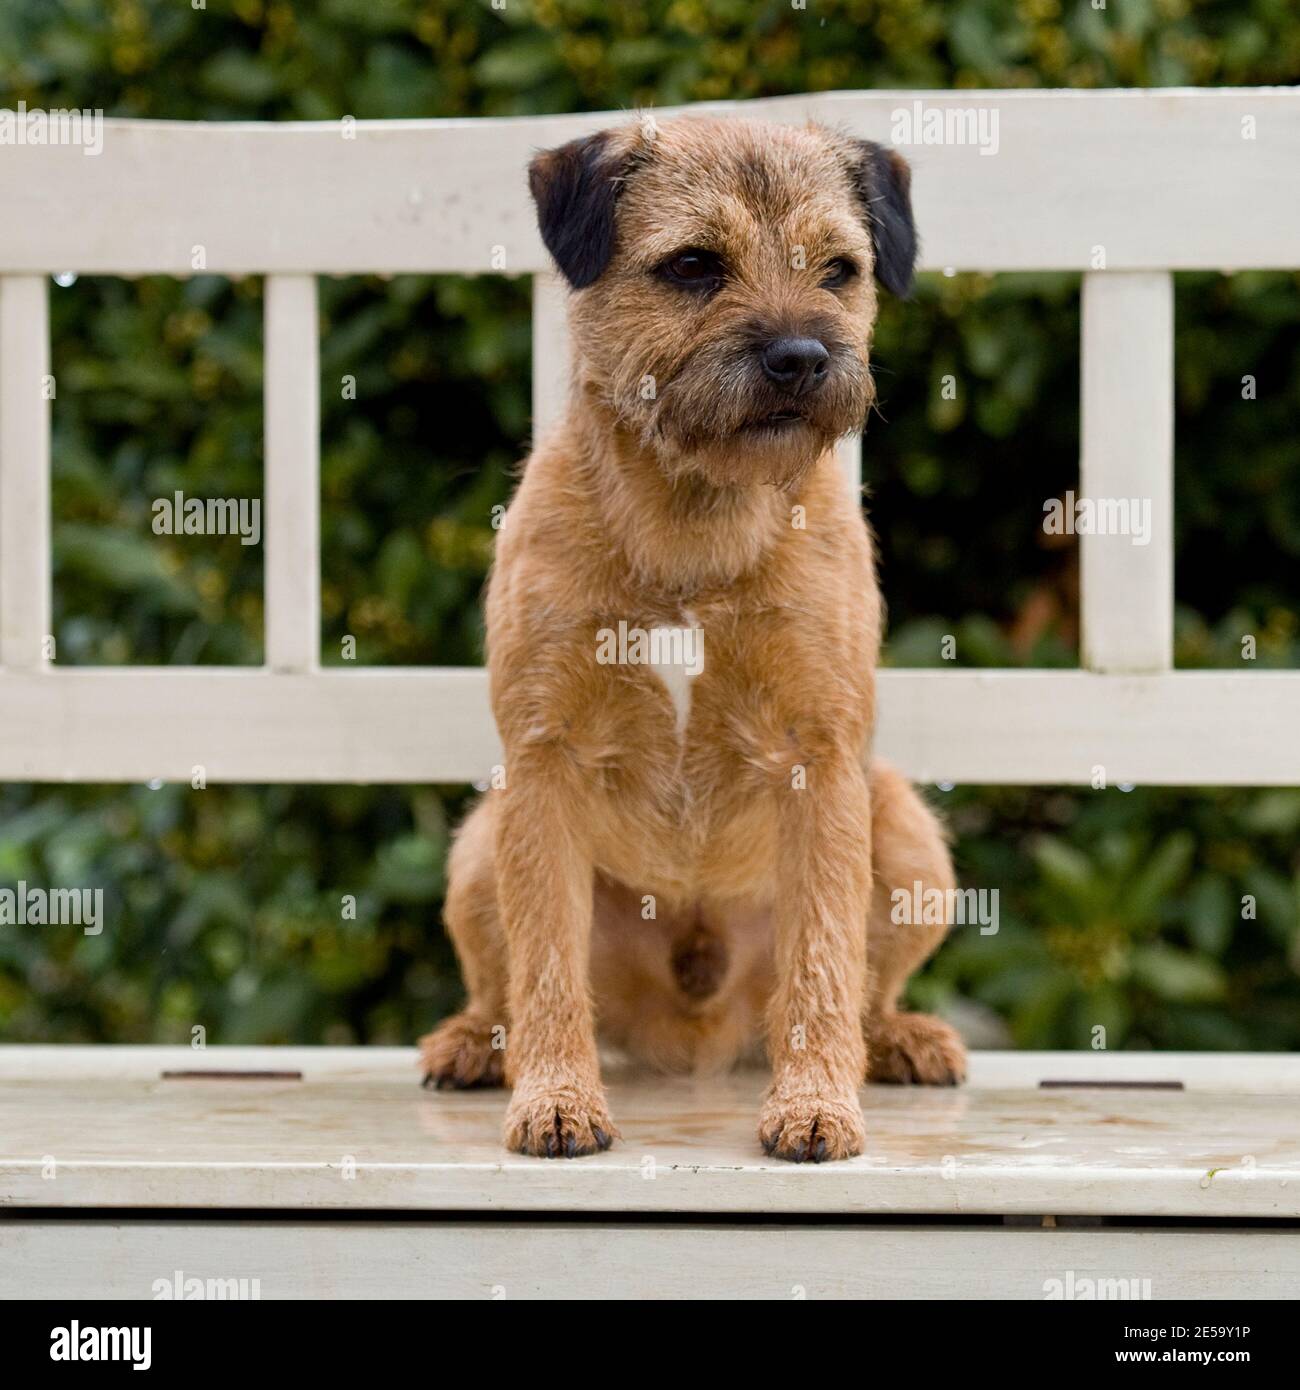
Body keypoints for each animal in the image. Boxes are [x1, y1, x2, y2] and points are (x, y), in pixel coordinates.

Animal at [419, 116, 967, 1162]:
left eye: (840, 269)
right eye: (692, 266)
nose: (801, 357)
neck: (695, 525)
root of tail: (695, 1033)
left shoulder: (821, 759)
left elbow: (823, 956)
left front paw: (815, 1107)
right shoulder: (543, 762)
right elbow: (545, 961)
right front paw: (555, 1101)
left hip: (911, 838)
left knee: (862, 986)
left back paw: (898, 1042)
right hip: (477, 846)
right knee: (500, 982)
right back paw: (471, 1043)